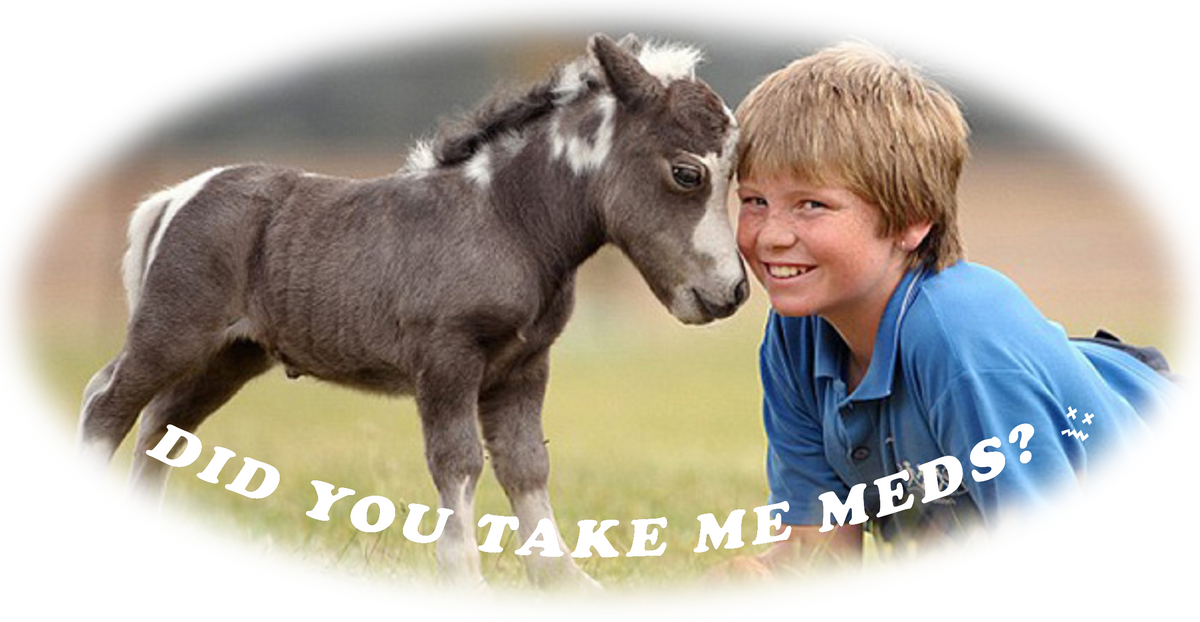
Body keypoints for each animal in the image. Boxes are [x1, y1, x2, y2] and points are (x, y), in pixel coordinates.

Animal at [69, 32, 747, 596]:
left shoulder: (524, 366)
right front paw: (468, 583)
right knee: (108, 404)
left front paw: (565, 582)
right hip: (174, 333)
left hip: (231, 357)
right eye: (687, 173)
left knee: (163, 424)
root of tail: (176, 196)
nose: (732, 291)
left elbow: (527, 464)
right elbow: (459, 460)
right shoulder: (447, 358)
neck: (506, 220)